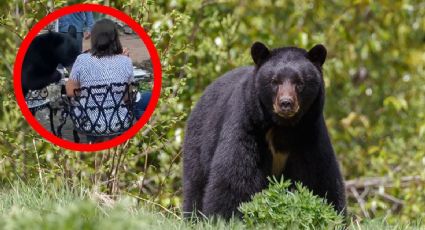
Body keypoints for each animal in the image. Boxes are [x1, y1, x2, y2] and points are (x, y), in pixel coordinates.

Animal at [182, 41, 344, 219]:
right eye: (274, 81)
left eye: (300, 82)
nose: (286, 103)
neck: (283, 127)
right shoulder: (248, 125)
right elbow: (235, 174)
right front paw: (225, 217)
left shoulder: (310, 133)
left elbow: (320, 177)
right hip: (200, 139)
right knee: (195, 182)